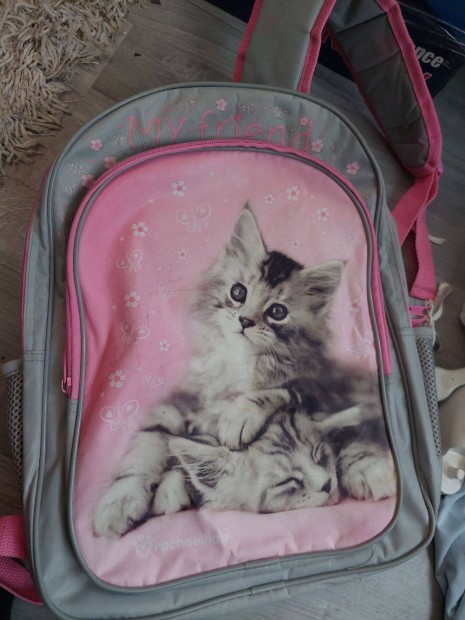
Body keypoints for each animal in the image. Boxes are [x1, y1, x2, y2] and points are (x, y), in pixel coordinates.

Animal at [93, 204, 394, 538]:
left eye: (277, 311)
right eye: (239, 292)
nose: (245, 321)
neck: (239, 362)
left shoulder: (316, 388)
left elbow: (282, 394)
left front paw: (238, 417)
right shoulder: (178, 402)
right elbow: (147, 446)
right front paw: (119, 502)